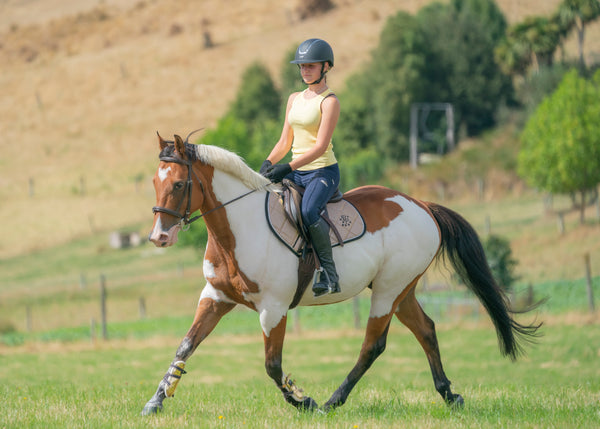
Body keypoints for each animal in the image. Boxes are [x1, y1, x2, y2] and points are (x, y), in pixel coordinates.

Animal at [139, 132, 540, 412]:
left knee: (373, 345)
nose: (159, 237)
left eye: (179, 184)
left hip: (388, 291)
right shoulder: (216, 297)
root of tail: (422, 205)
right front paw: (157, 400)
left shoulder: (273, 308)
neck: (237, 229)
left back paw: (333, 400)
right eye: (155, 183)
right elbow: (186, 345)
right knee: (426, 329)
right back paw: (448, 394)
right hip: (402, 290)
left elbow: (272, 365)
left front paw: (303, 400)